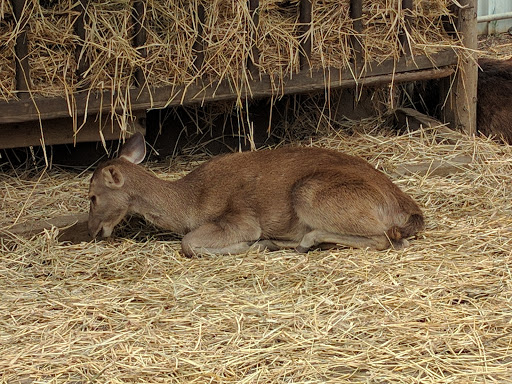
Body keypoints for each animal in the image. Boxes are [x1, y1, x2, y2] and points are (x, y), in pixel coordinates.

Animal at [88, 133, 424, 258]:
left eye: (91, 196)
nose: (92, 230)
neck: (190, 204)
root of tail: (409, 210)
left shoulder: (240, 218)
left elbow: (189, 243)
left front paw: (253, 244)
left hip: (309, 193)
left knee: (386, 238)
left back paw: (303, 240)